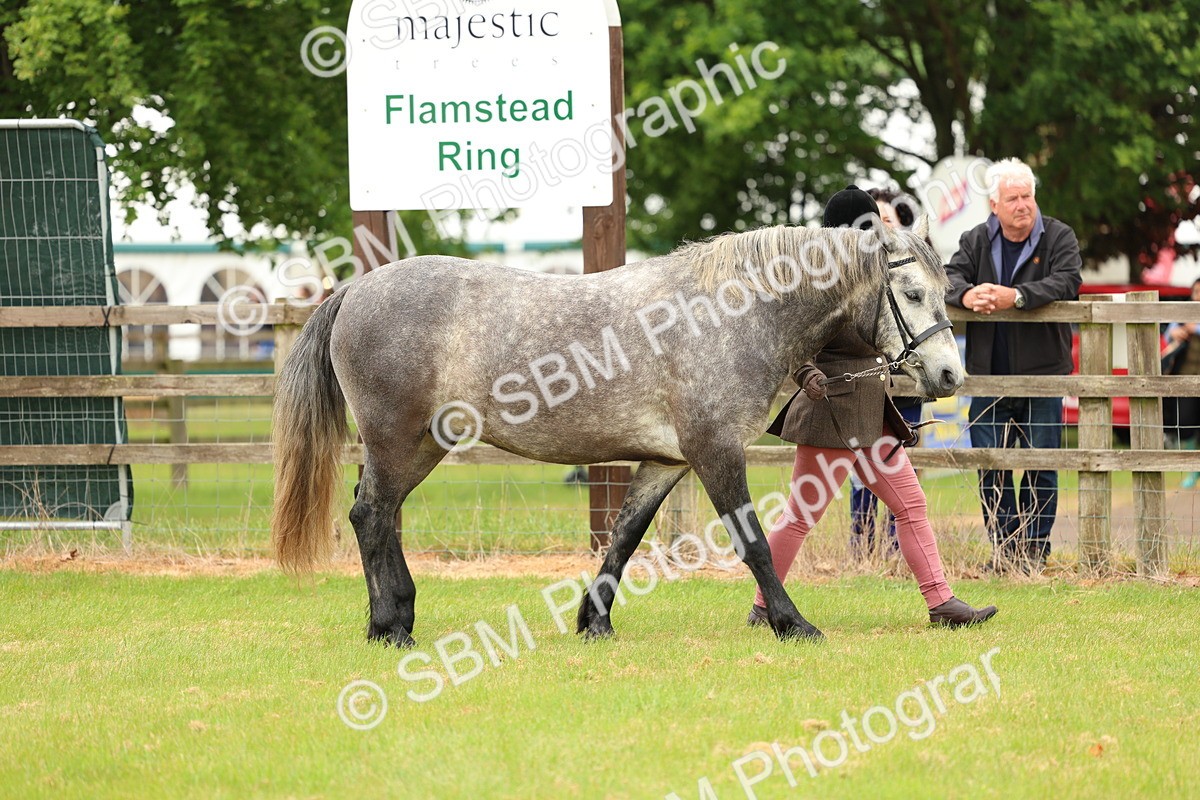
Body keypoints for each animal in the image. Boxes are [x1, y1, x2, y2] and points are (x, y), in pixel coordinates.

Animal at [270, 216, 962, 645]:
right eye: (910, 291)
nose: (950, 373)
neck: (730, 314)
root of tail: (355, 289)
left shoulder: (667, 461)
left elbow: (625, 538)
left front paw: (593, 622)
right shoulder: (716, 452)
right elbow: (756, 544)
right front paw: (794, 625)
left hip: (423, 444)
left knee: (378, 516)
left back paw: (393, 619)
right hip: (396, 438)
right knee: (371, 515)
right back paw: (391, 625)